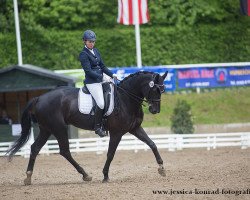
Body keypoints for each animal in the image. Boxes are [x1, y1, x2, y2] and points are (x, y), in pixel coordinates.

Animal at [6, 70, 168, 184]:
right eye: (155, 89)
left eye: (163, 90)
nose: (155, 110)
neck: (125, 99)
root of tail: (39, 98)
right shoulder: (116, 133)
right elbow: (111, 154)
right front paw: (105, 176)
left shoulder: (134, 129)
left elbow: (152, 144)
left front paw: (161, 168)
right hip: (59, 128)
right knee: (65, 151)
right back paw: (85, 175)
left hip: (46, 129)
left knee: (35, 148)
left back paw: (28, 177)